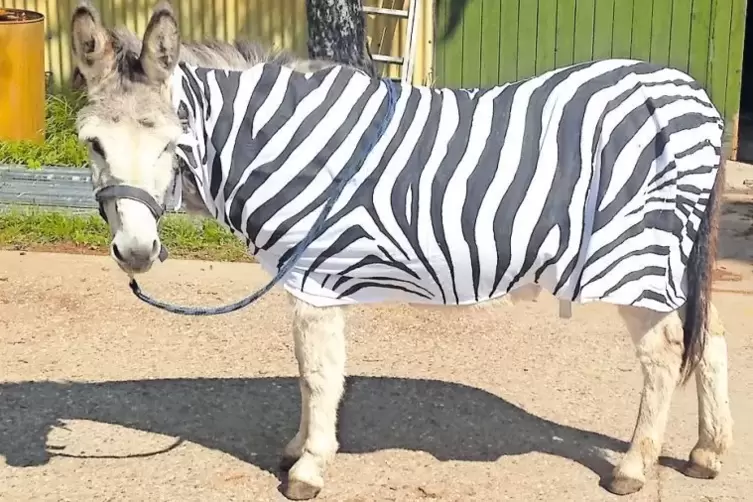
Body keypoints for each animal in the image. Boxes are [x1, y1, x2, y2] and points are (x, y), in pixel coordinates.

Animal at [70, 1, 733, 500]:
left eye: (171, 142)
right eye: (93, 144)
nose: (136, 253)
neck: (284, 144)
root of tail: (692, 92)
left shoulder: (315, 277)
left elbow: (319, 375)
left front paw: (309, 468)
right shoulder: (304, 277)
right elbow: (309, 374)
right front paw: (297, 449)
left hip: (635, 253)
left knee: (665, 353)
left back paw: (633, 468)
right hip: (676, 253)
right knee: (712, 338)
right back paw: (707, 453)